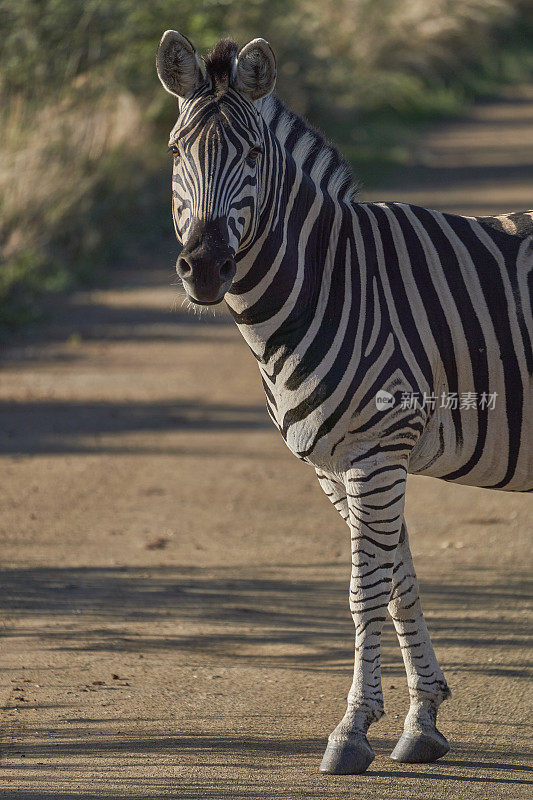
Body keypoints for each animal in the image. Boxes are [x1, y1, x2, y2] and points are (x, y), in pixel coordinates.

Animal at [156, 32, 532, 776]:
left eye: (253, 156)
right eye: (177, 152)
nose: (206, 268)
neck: (329, 281)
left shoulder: (378, 449)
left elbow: (364, 592)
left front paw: (352, 730)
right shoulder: (337, 465)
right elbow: (398, 582)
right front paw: (422, 721)